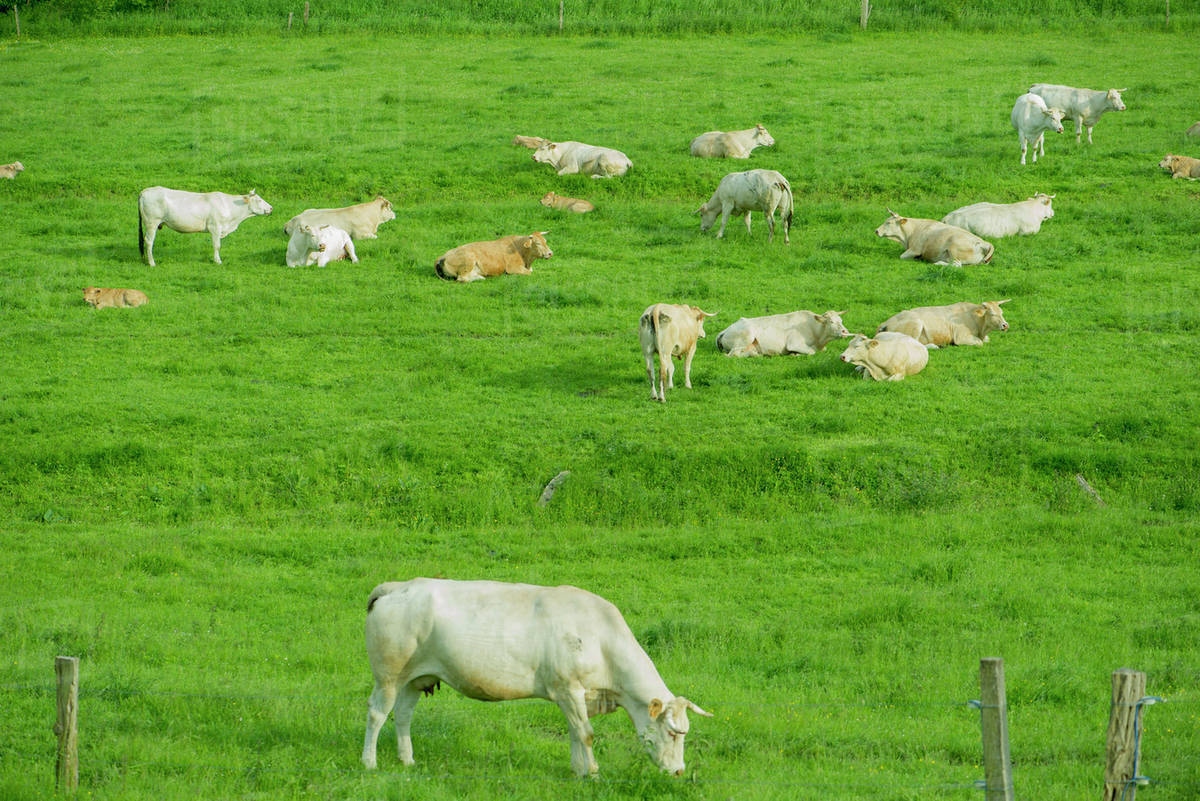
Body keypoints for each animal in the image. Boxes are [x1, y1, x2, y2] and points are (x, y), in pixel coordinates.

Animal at [138, 187, 273, 267]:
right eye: (259, 200)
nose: (271, 208)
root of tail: (145, 191)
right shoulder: (215, 227)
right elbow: (217, 245)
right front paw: (218, 261)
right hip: (152, 223)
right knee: (149, 241)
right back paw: (152, 263)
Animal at [362, 578, 712, 778]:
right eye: (673, 733)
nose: (679, 771)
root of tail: (398, 586)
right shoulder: (568, 688)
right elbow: (586, 733)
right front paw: (593, 772)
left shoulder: (574, 696)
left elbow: (575, 732)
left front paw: (578, 770)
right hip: (388, 675)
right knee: (378, 713)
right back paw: (370, 762)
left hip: (416, 677)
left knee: (403, 715)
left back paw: (407, 760)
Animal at [715, 310, 849, 357]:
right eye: (831, 321)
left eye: (841, 320)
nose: (845, 331)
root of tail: (726, 329)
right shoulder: (794, 343)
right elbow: (811, 352)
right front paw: (794, 354)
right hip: (746, 337)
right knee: (732, 354)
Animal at [876, 300, 1011, 349]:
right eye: (992, 314)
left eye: (1002, 312)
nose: (1005, 325)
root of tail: (887, 321)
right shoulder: (961, 337)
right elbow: (980, 343)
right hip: (916, 324)